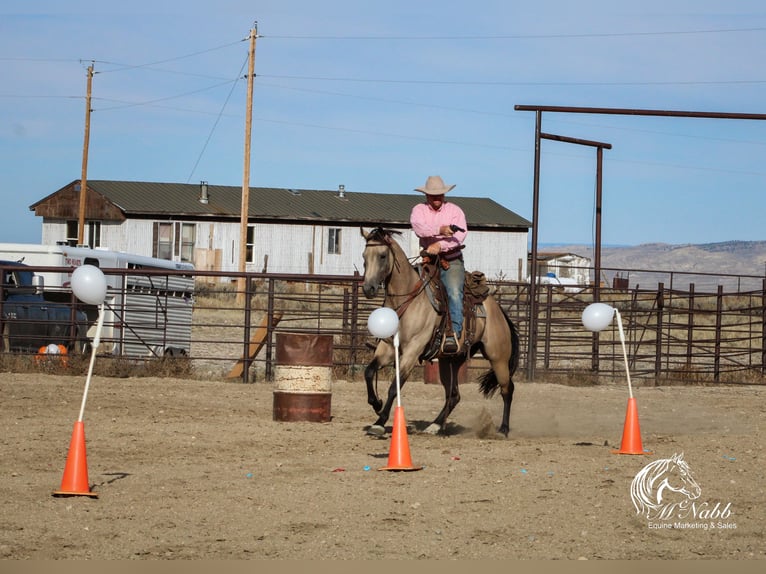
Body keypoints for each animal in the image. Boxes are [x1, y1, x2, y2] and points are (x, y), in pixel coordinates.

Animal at [362, 227, 520, 438]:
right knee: (453, 395)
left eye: (382, 255)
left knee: (507, 389)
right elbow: (369, 372)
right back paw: (435, 425)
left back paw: (503, 429)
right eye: (364, 256)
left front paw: (380, 422)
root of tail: (498, 311)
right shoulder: (387, 348)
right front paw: (377, 405)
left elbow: (394, 387)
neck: (408, 299)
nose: (368, 288)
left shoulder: (412, 351)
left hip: (498, 358)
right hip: (450, 360)